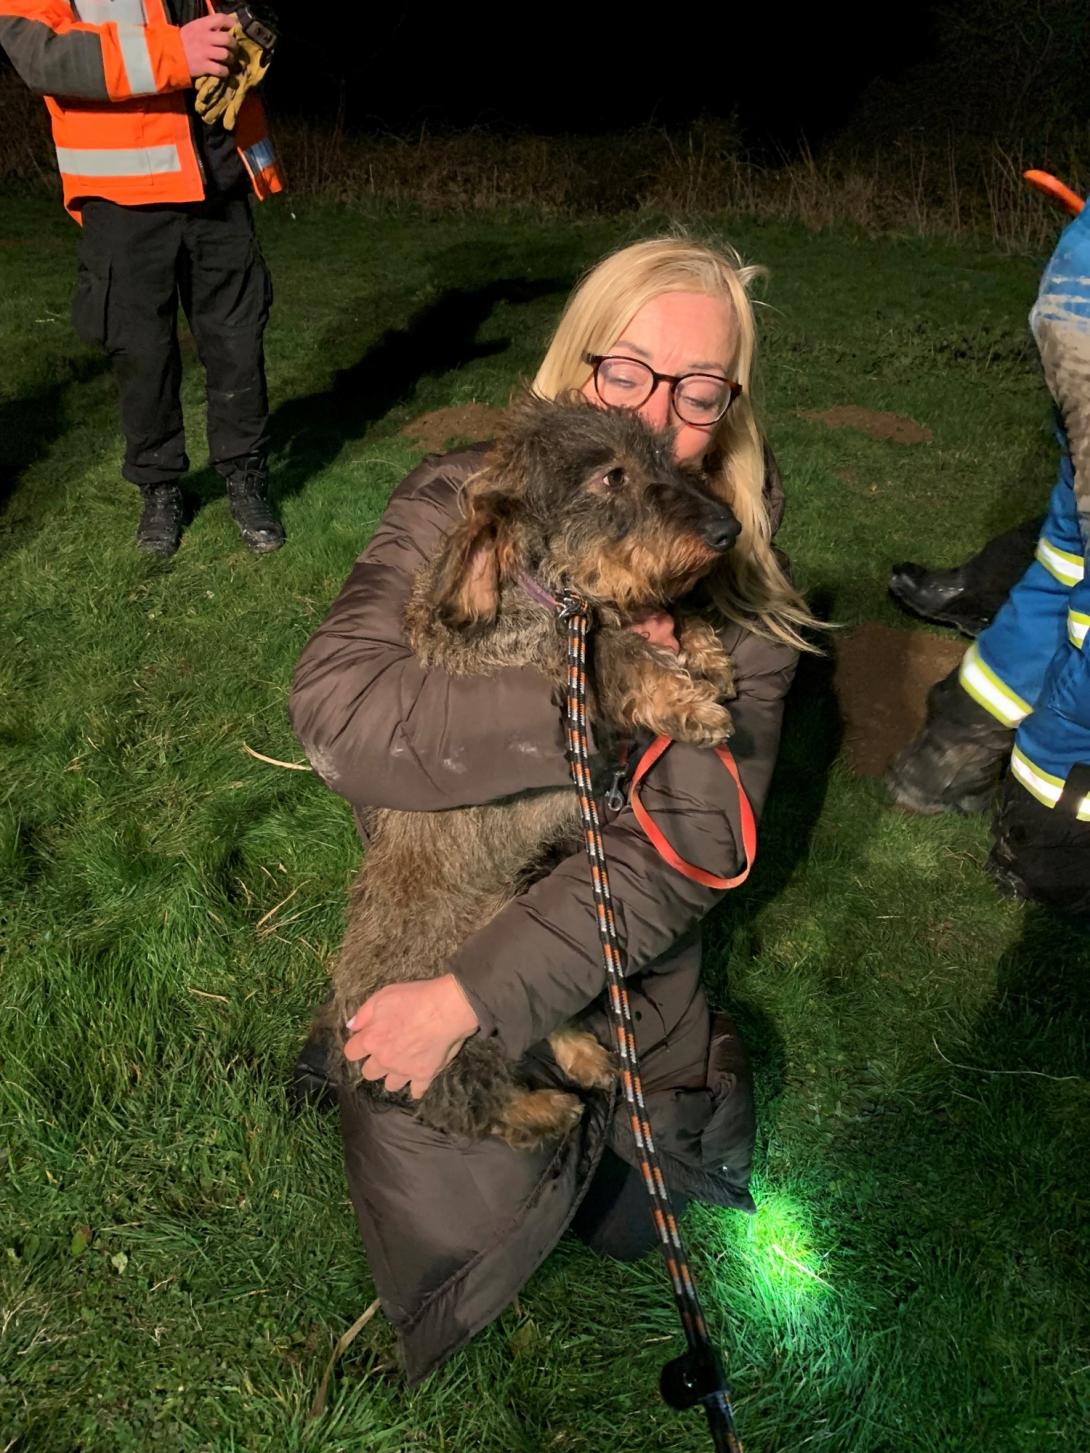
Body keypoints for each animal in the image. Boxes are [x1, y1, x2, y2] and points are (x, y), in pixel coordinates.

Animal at [328, 395, 744, 1144]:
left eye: (666, 460)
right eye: (611, 476)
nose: (728, 530)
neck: (551, 594)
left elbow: (661, 616)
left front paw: (706, 654)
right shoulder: (551, 658)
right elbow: (616, 649)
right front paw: (687, 701)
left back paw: (585, 1058)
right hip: (457, 1012)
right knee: (472, 1102)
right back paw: (542, 1107)